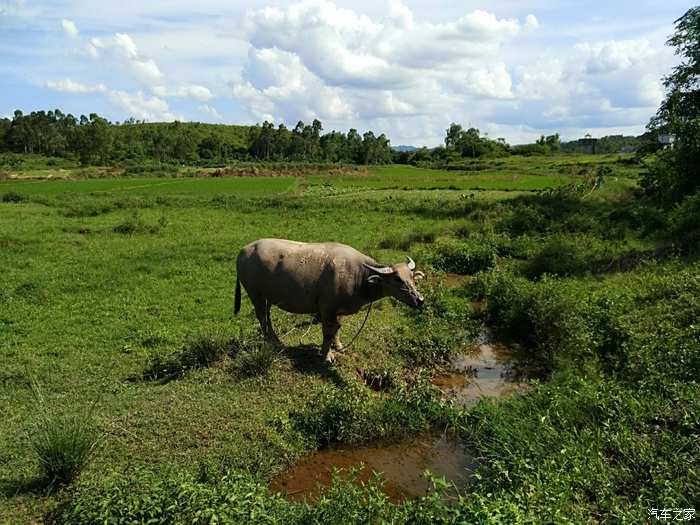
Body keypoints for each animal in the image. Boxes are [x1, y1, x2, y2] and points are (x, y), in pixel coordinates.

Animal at [235, 237, 424, 360]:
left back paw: (275, 340)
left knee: (267, 316)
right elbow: (327, 331)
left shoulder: (337, 310)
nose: (420, 300)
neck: (359, 276)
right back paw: (272, 343)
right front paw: (327, 354)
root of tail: (244, 250)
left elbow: (337, 329)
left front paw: (338, 346)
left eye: (412, 277)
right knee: (261, 317)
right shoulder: (327, 309)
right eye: (397, 279)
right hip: (255, 294)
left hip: (267, 296)